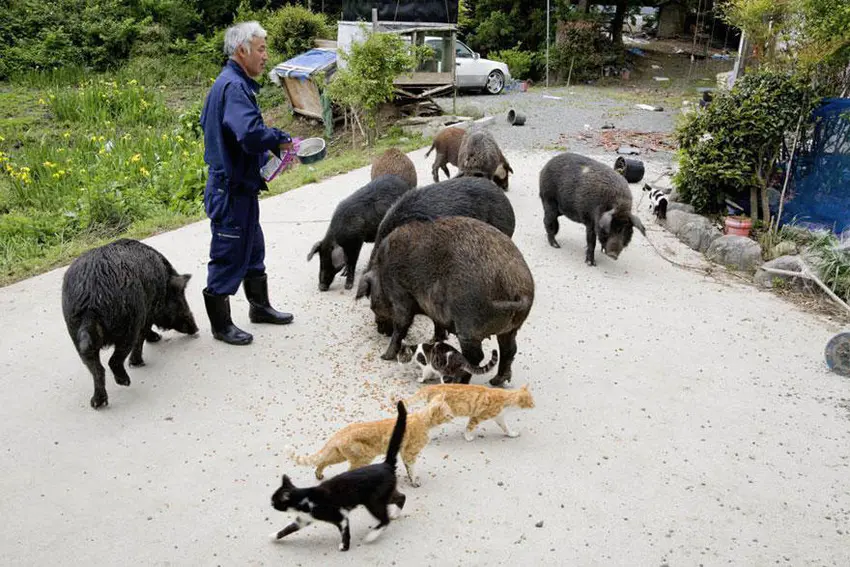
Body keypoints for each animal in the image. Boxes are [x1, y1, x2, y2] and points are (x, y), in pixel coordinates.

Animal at [270, 400, 406, 552]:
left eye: (275, 500)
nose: (270, 503)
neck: (305, 499)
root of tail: (386, 464)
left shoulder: (340, 517)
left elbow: (345, 532)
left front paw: (344, 546)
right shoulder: (303, 520)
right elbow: (288, 528)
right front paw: (274, 535)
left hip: (373, 500)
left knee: (385, 519)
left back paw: (372, 535)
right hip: (382, 495)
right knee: (401, 497)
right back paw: (395, 514)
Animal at [288, 394, 454, 488]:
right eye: (448, 414)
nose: (453, 417)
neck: (423, 420)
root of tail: (339, 434)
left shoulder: (404, 453)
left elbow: (408, 468)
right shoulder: (410, 453)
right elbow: (412, 469)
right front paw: (414, 481)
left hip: (339, 456)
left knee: (322, 462)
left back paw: (319, 475)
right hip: (363, 458)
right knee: (346, 472)